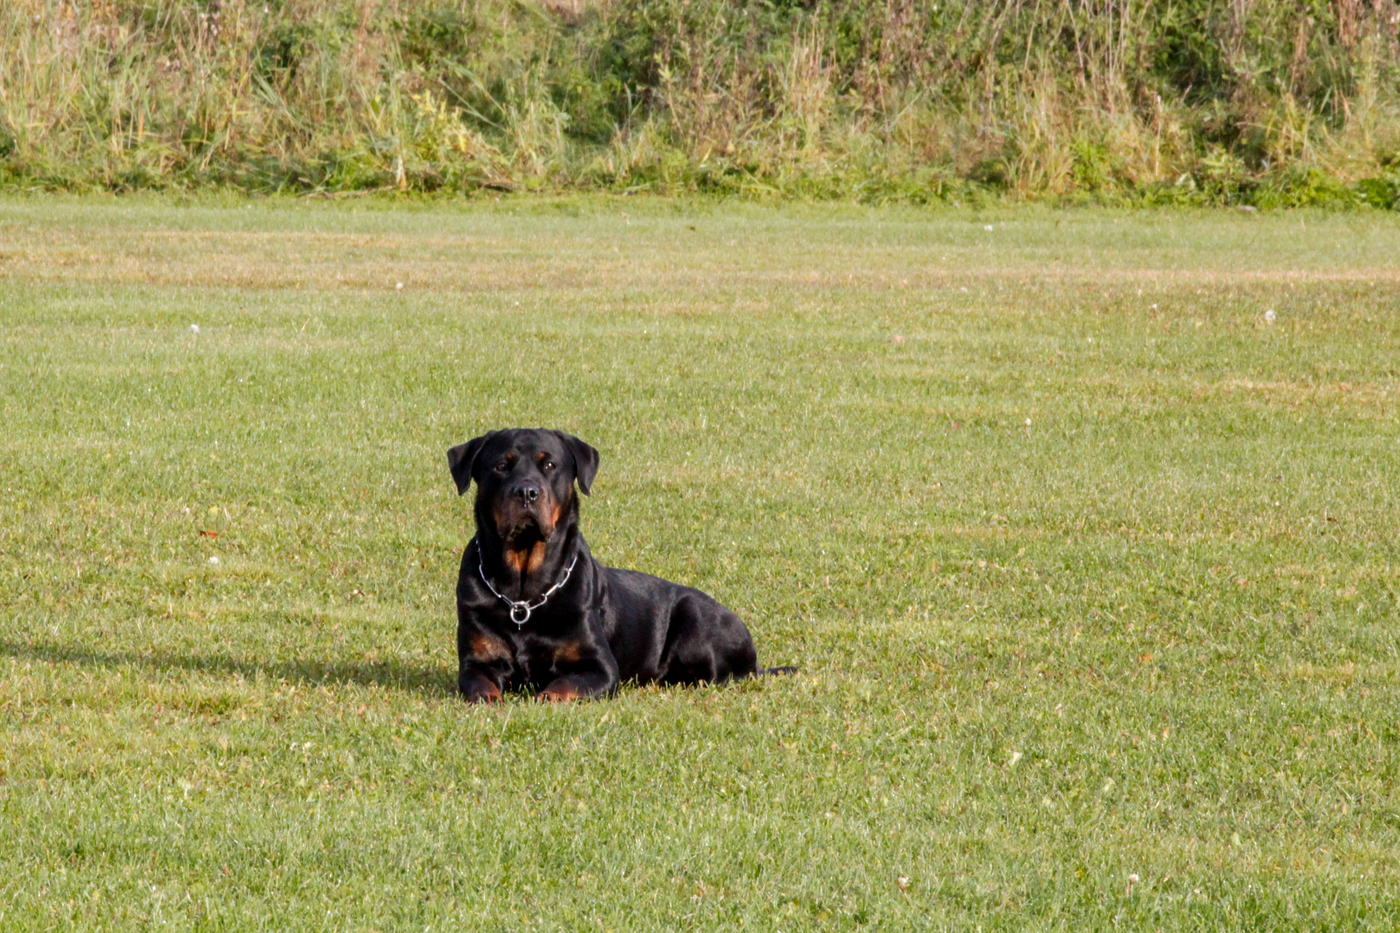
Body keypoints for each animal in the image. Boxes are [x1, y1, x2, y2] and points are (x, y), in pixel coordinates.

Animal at [447, 428, 786, 702]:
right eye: (501, 466)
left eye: (550, 465)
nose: (527, 492)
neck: (523, 594)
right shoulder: (477, 663)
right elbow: (480, 686)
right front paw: (490, 700)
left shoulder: (602, 669)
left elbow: (562, 686)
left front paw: (545, 696)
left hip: (696, 621)